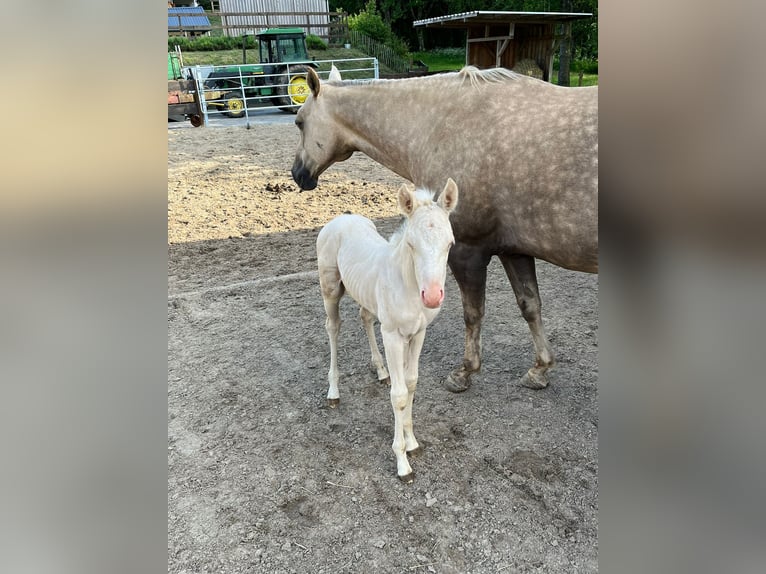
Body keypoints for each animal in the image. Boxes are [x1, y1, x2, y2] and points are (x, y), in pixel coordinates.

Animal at [294, 66, 600, 392]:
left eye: (299, 122)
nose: (297, 173)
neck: (440, 124)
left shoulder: (467, 251)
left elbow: (473, 313)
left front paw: (465, 371)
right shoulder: (513, 251)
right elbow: (530, 305)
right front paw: (540, 369)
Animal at [316, 179, 460, 482]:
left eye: (450, 243)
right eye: (411, 244)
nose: (432, 297)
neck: (407, 284)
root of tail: (341, 218)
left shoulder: (418, 333)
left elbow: (412, 382)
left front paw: (412, 442)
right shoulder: (392, 335)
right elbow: (399, 394)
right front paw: (402, 462)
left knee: (365, 318)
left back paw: (381, 370)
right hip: (330, 289)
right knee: (333, 327)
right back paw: (333, 391)